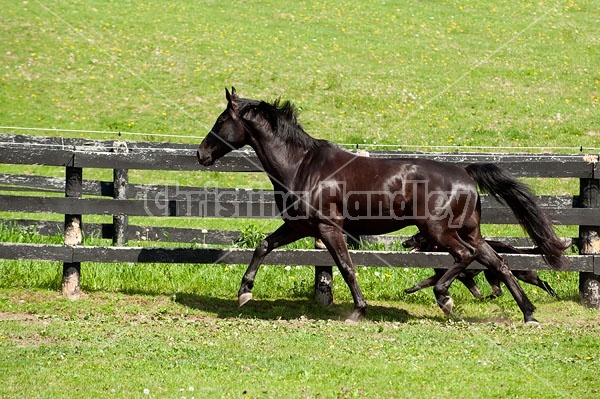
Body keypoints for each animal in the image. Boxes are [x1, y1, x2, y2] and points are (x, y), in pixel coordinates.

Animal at [197, 88, 568, 324]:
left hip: (438, 231)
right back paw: (529, 314)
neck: (302, 165)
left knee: (466, 257)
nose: (201, 154)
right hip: (469, 230)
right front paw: (244, 293)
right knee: (499, 263)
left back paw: (445, 297)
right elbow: (263, 246)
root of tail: (465, 171)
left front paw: (358, 311)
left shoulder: (328, 228)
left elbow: (346, 267)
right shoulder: (300, 225)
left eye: (220, 121)